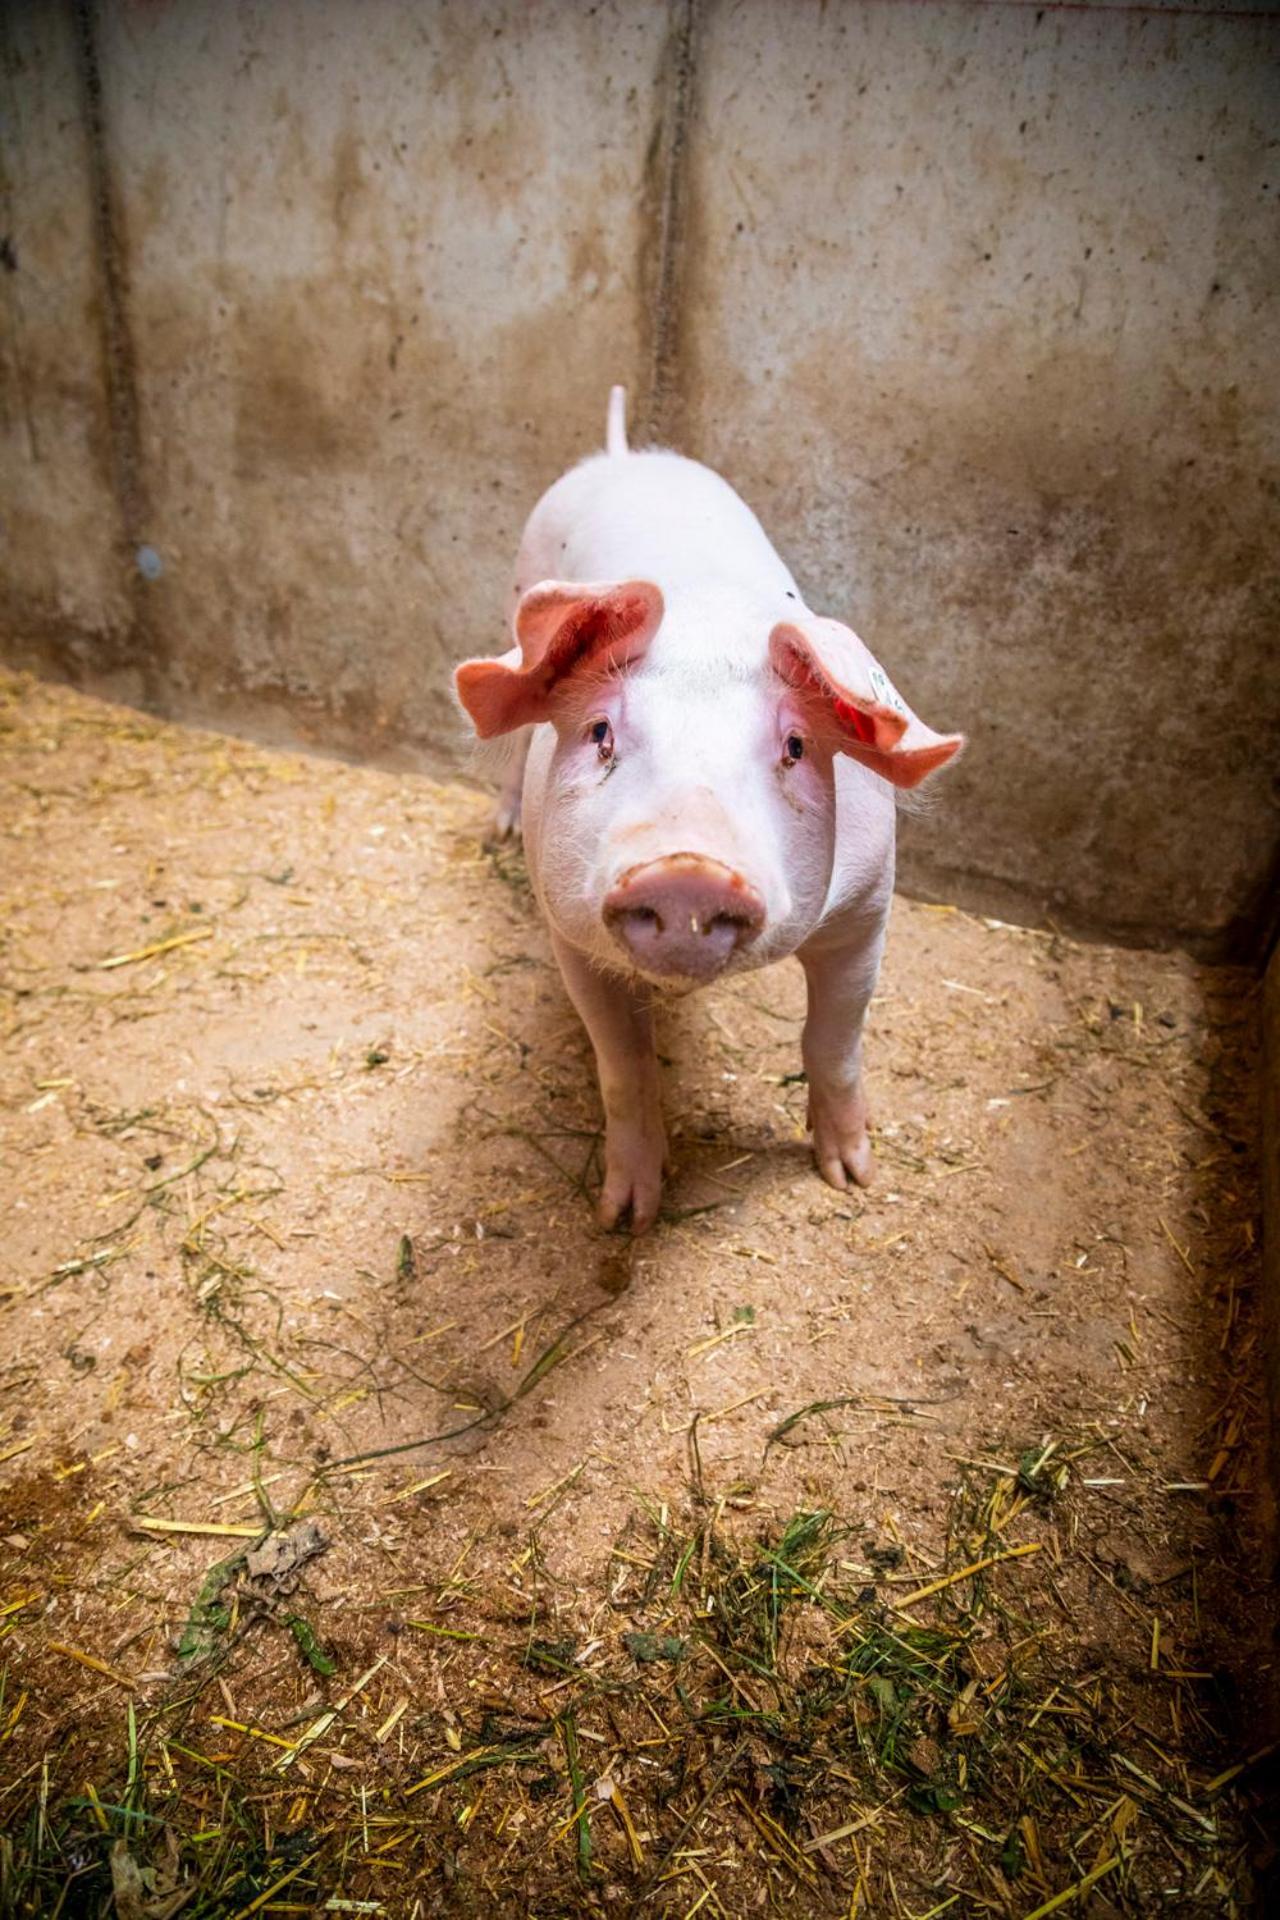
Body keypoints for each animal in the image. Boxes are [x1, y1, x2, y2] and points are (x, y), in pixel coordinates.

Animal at [454, 389, 967, 1228]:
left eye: (794, 746)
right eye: (601, 732)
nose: (686, 868)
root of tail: (624, 455)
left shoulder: (867, 909)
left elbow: (835, 1042)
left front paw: (853, 1177)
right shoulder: (569, 930)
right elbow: (624, 1068)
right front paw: (624, 1218)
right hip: (516, 593)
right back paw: (498, 829)